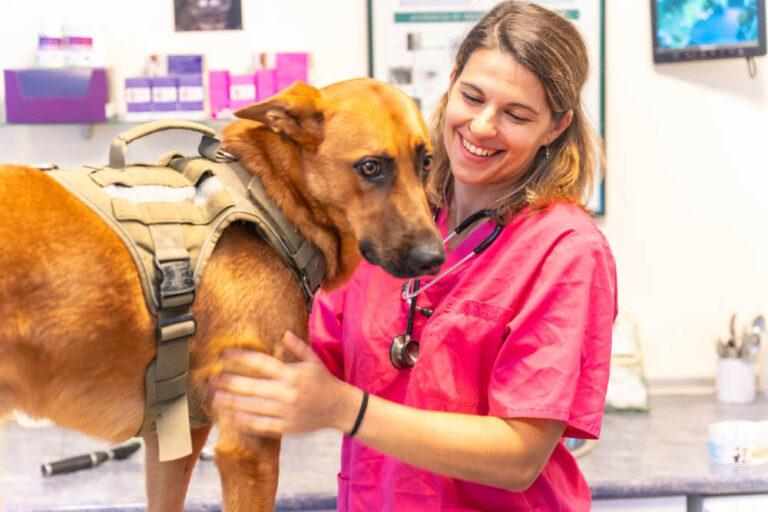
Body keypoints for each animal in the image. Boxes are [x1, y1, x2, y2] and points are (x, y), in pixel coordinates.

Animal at [0, 78, 444, 510]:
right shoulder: (249, 447)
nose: (434, 258)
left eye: (426, 162)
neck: (271, 195)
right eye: (370, 167)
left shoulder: (174, 440)